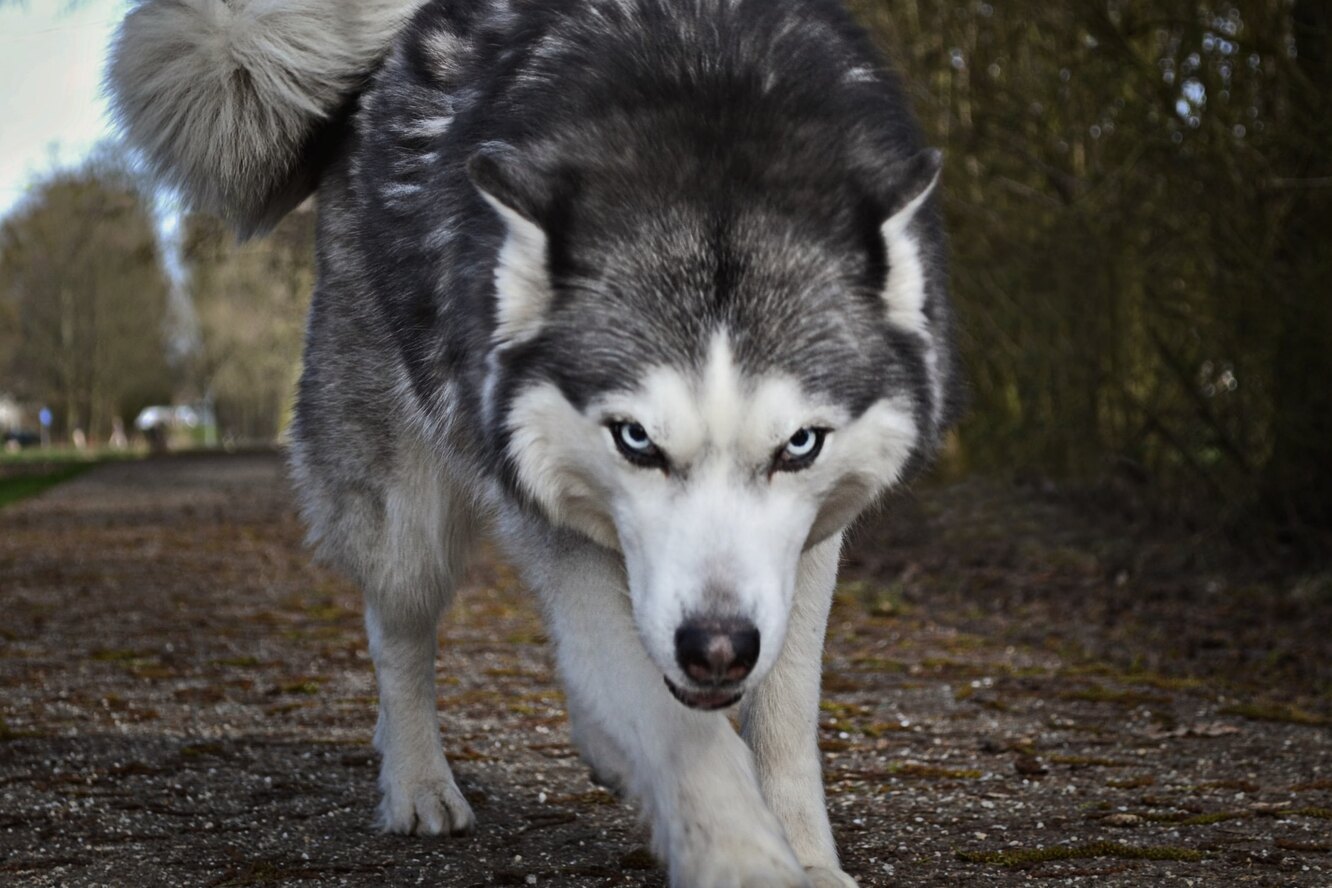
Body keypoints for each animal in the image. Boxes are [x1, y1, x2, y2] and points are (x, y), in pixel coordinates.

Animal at [109, 3, 953, 884]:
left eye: (799, 445)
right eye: (635, 438)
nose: (716, 650)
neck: (708, 98)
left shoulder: (804, 553)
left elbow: (782, 716)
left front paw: (809, 858)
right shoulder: (559, 527)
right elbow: (684, 737)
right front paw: (747, 859)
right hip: (406, 520)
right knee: (397, 634)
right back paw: (418, 784)